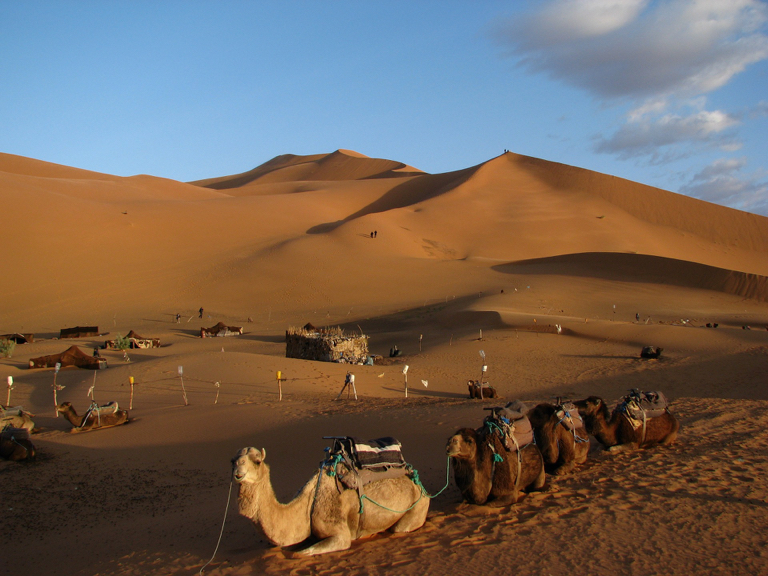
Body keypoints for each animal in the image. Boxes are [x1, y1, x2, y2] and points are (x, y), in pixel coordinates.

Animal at [231, 444, 428, 556]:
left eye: (257, 461)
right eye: (232, 461)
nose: (238, 473)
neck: (308, 504)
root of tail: (420, 484)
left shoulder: (339, 534)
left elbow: (300, 554)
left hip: (418, 507)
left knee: (399, 528)